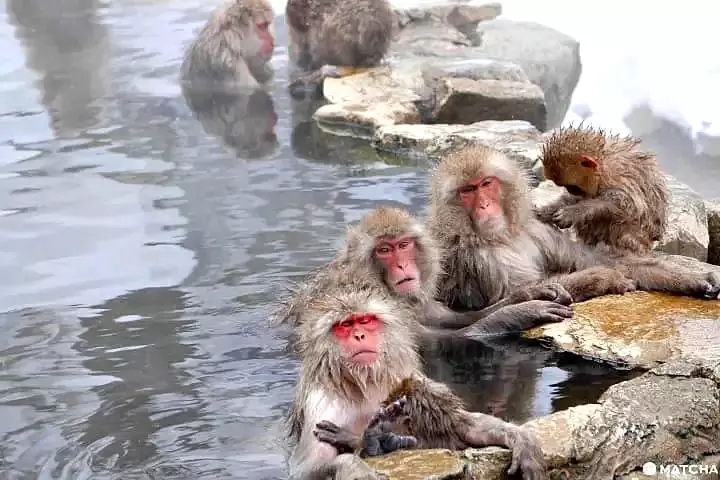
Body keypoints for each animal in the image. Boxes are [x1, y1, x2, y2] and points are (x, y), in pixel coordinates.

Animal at [275, 206, 575, 339]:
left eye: (403, 245)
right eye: (384, 250)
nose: (401, 265)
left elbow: (450, 319)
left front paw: (528, 293)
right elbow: (443, 340)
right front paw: (521, 312)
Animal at [285, 288, 547, 480]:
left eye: (365, 321)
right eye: (345, 326)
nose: (359, 336)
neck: (366, 383)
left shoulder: (411, 380)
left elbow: (460, 425)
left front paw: (518, 437)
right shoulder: (323, 404)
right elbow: (306, 469)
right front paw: (353, 463)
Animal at [426, 144, 720, 312]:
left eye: (486, 184)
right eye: (467, 191)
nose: (485, 205)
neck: (503, 236)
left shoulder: (536, 229)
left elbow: (594, 259)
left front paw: (696, 279)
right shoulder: (470, 256)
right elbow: (510, 296)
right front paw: (601, 279)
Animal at [535, 124, 669, 255]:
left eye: (572, 187)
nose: (571, 191)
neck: (603, 167)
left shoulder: (623, 178)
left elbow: (626, 204)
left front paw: (572, 212)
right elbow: (570, 199)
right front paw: (547, 210)